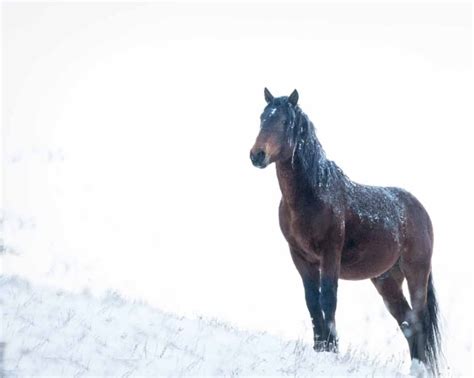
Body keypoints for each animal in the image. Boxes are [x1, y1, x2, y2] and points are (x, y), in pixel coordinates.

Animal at [250, 88, 442, 372]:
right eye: (262, 118)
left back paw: (420, 368)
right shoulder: (301, 258)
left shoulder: (330, 255)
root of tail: (420, 210)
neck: (313, 194)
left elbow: (328, 300)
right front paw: (319, 347)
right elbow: (312, 301)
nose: (257, 154)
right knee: (407, 321)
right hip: (386, 279)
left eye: (285, 122)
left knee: (418, 320)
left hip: (416, 271)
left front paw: (331, 350)